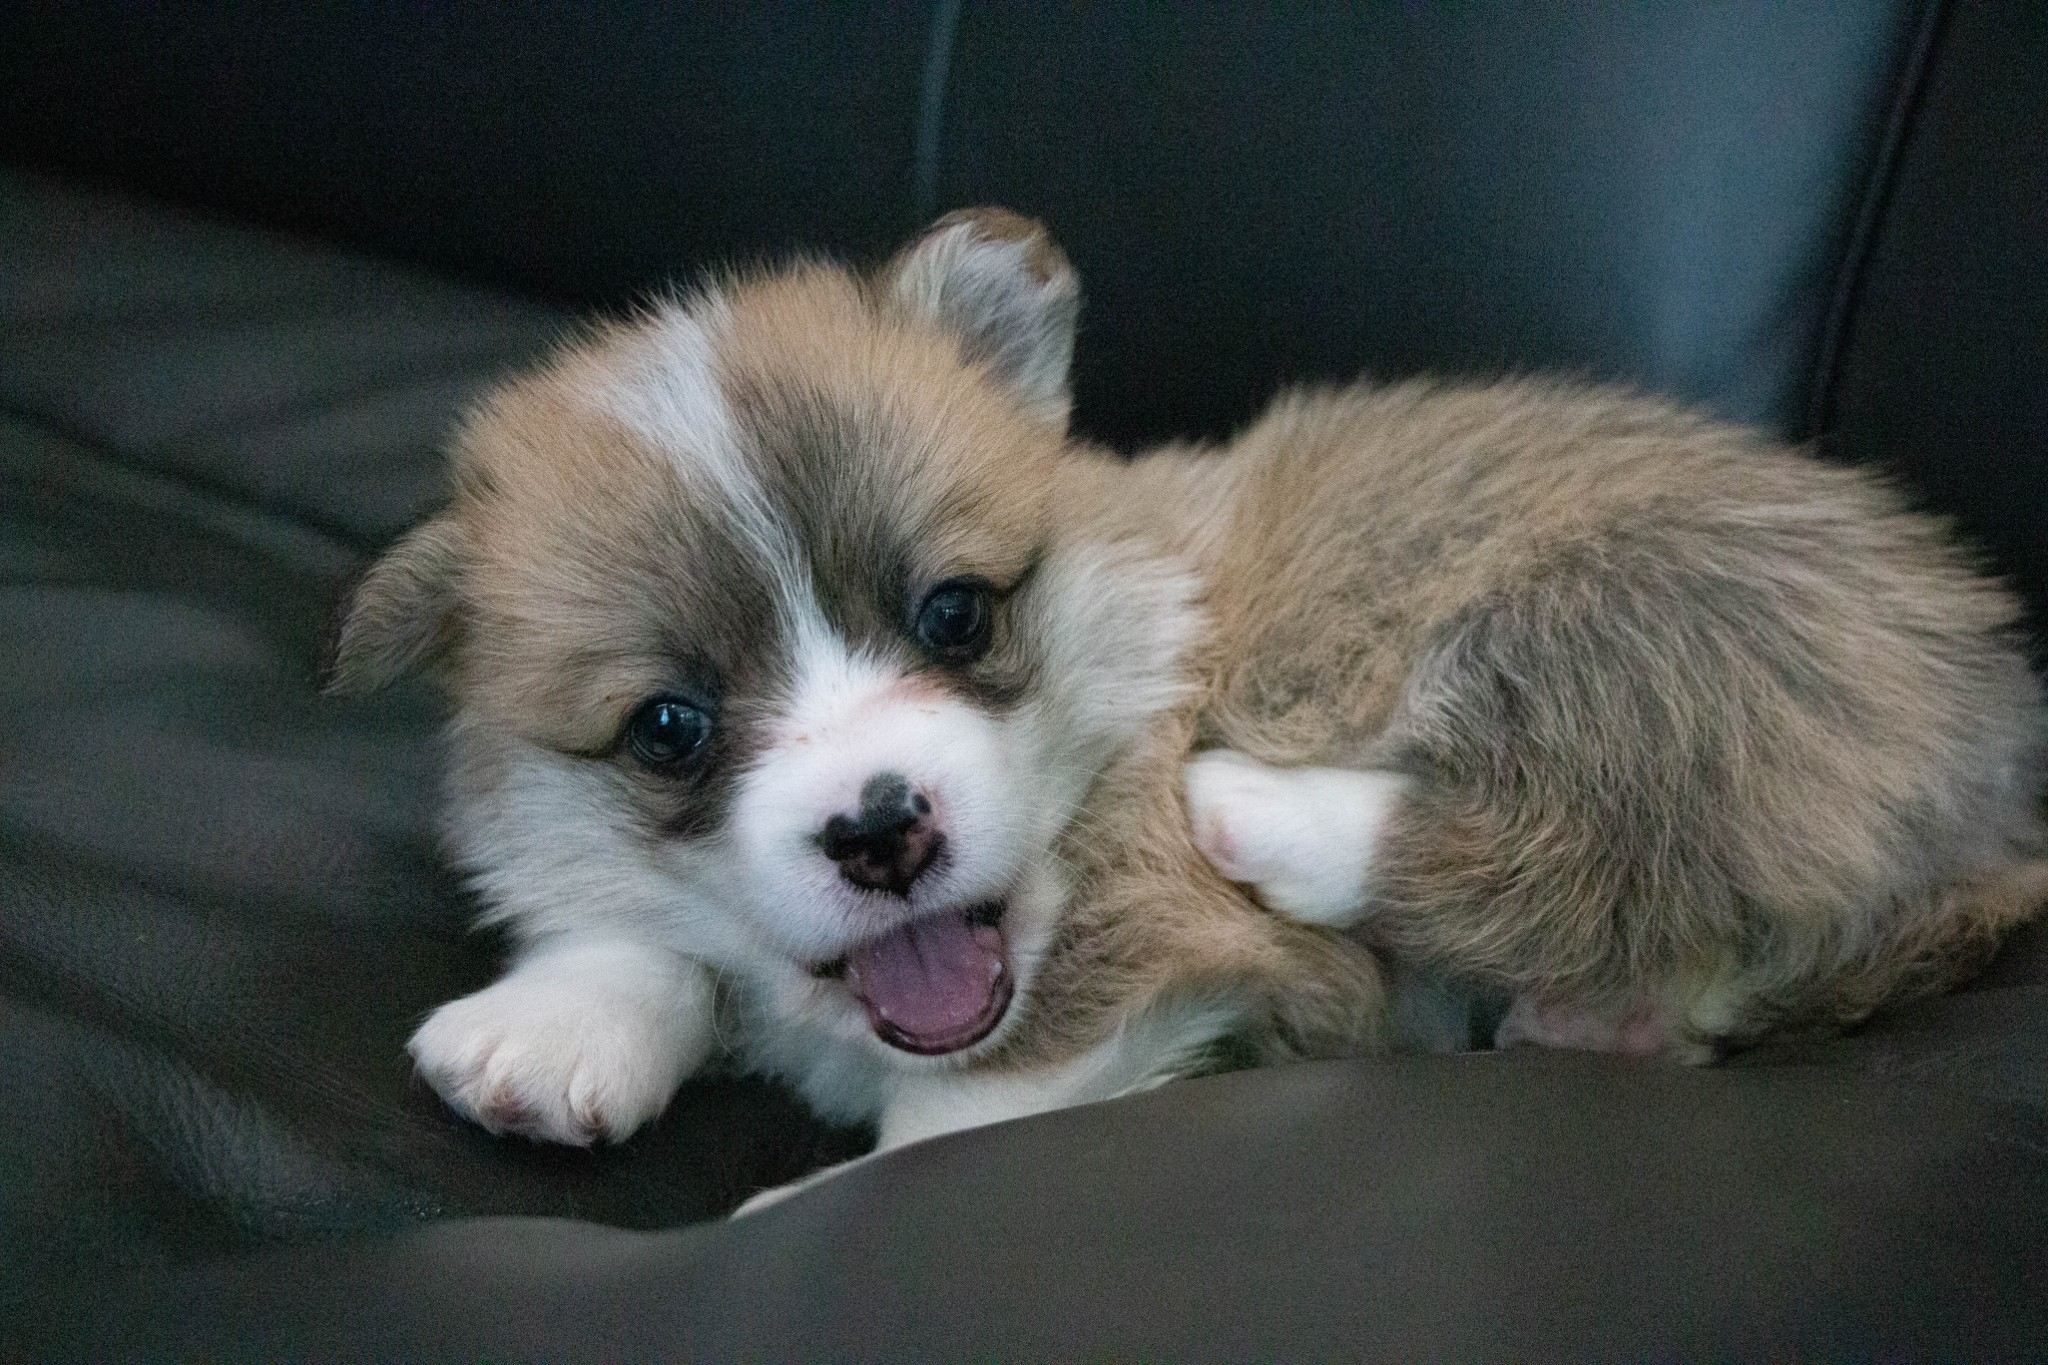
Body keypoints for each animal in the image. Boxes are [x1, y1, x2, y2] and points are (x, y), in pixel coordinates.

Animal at [327, 208, 2047, 1172]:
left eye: (954, 612)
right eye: (669, 729)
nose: (881, 830)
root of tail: (1987, 733)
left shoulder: (1124, 971)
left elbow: (929, 1137)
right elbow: (649, 930)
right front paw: (553, 1027)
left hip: (1604, 616)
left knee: (1604, 843)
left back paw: (1272, 812)